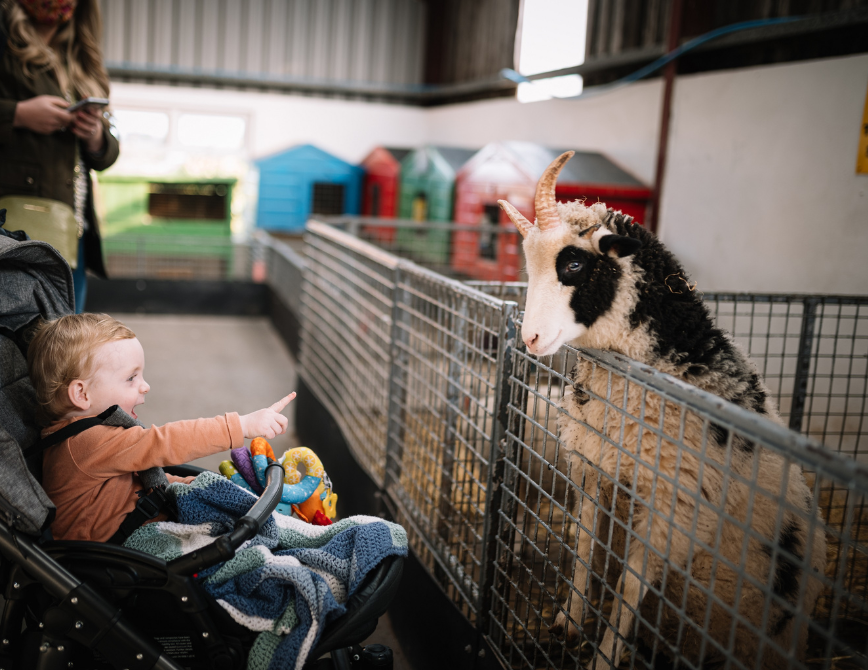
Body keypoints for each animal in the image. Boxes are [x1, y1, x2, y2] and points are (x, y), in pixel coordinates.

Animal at [498, 154, 824, 670]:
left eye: (573, 263)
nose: (529, 338)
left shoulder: (677, 512)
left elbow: (631, 584)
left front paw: (604, 656)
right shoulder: (594, 468)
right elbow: (584, 542)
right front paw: (569, 620)